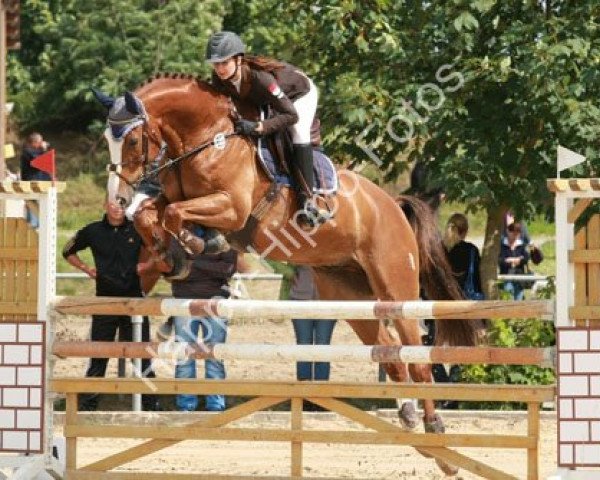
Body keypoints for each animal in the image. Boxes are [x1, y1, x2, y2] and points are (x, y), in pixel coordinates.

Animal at [96, 76, 476, 476]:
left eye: (132, 140)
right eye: (107, 139)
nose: (117, 200)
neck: (206, 138)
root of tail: (393, 204)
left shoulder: (232, 208)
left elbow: (174, 214)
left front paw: (197, 244)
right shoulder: (174, 200)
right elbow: (151, 214)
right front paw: (173, 253)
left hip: (395, 286)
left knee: (416, 357)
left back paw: (436, 431)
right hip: (348, 293)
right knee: (389, 352)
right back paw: (408, 418)